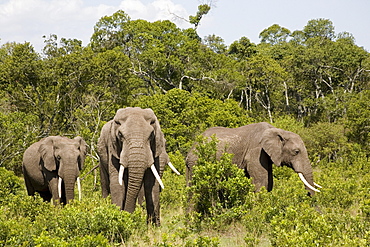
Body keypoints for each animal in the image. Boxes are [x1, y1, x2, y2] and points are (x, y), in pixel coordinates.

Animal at [186, 122, 322, 196]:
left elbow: (269, 183)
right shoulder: (257, 151)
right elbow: (261, 182)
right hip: (196, 162)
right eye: (296, 152)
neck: (277, 131)